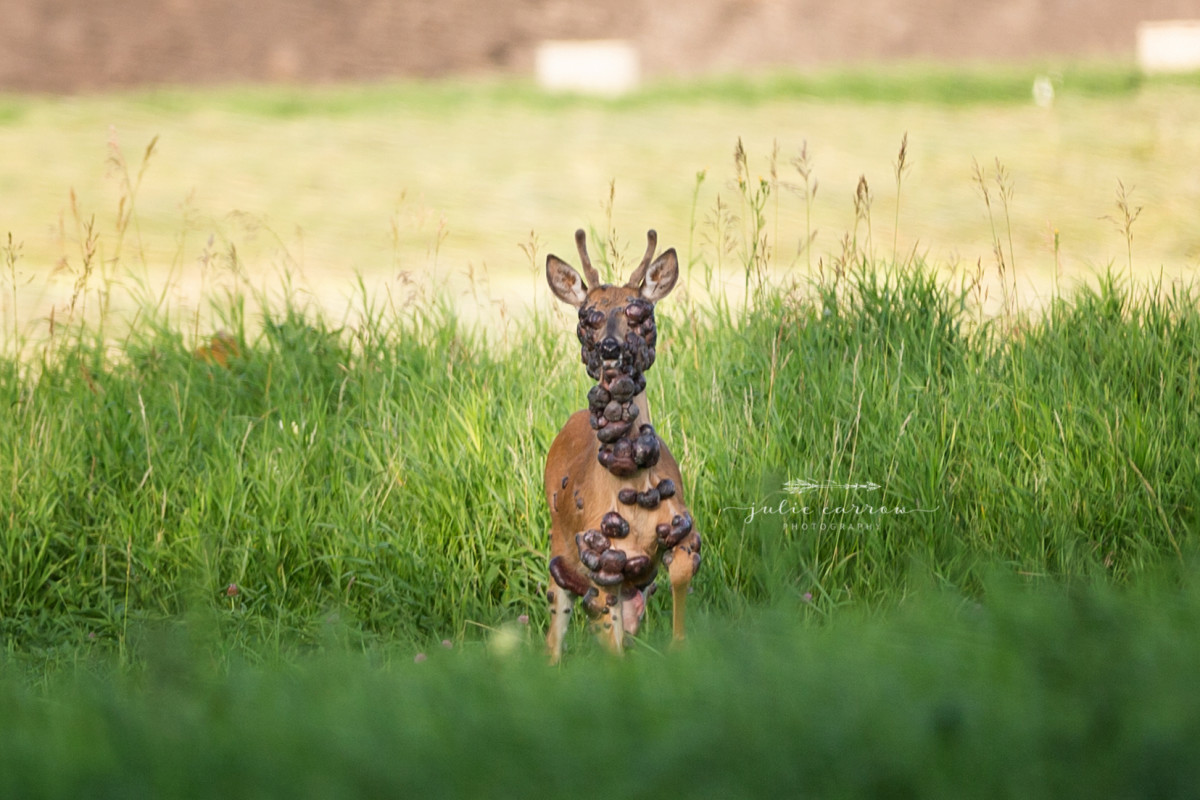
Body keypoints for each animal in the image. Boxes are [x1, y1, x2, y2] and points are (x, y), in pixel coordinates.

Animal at [542, 226, 700, 662]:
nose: (610, 349)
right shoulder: (600, 560)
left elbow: (680, 575)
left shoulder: (681, 528)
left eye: (639, 312)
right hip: (559, 546)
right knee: (554, 633)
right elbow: (609, 644)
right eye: (586, 316)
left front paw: (680, 648)